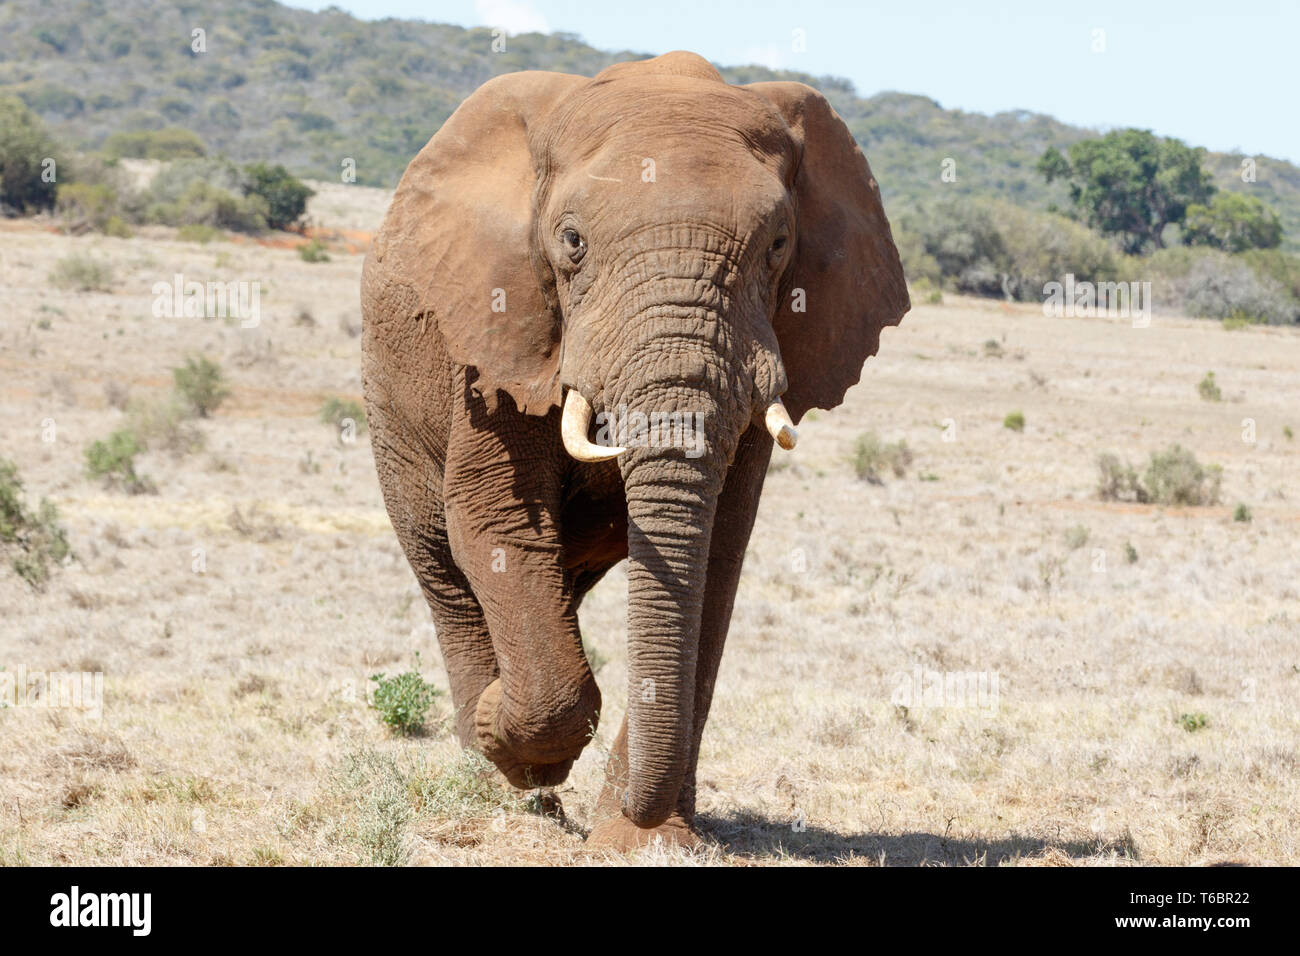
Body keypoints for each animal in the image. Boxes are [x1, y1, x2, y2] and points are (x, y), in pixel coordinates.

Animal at [356, 50, 904, 853]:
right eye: (572, 242)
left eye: (778, 245)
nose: (639, 819)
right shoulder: (499, 335)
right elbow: (496, 522)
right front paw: (504, 734)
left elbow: (718, 556)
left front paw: (645, 842)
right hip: (392, 403)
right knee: (441, 566)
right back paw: (492, 778)